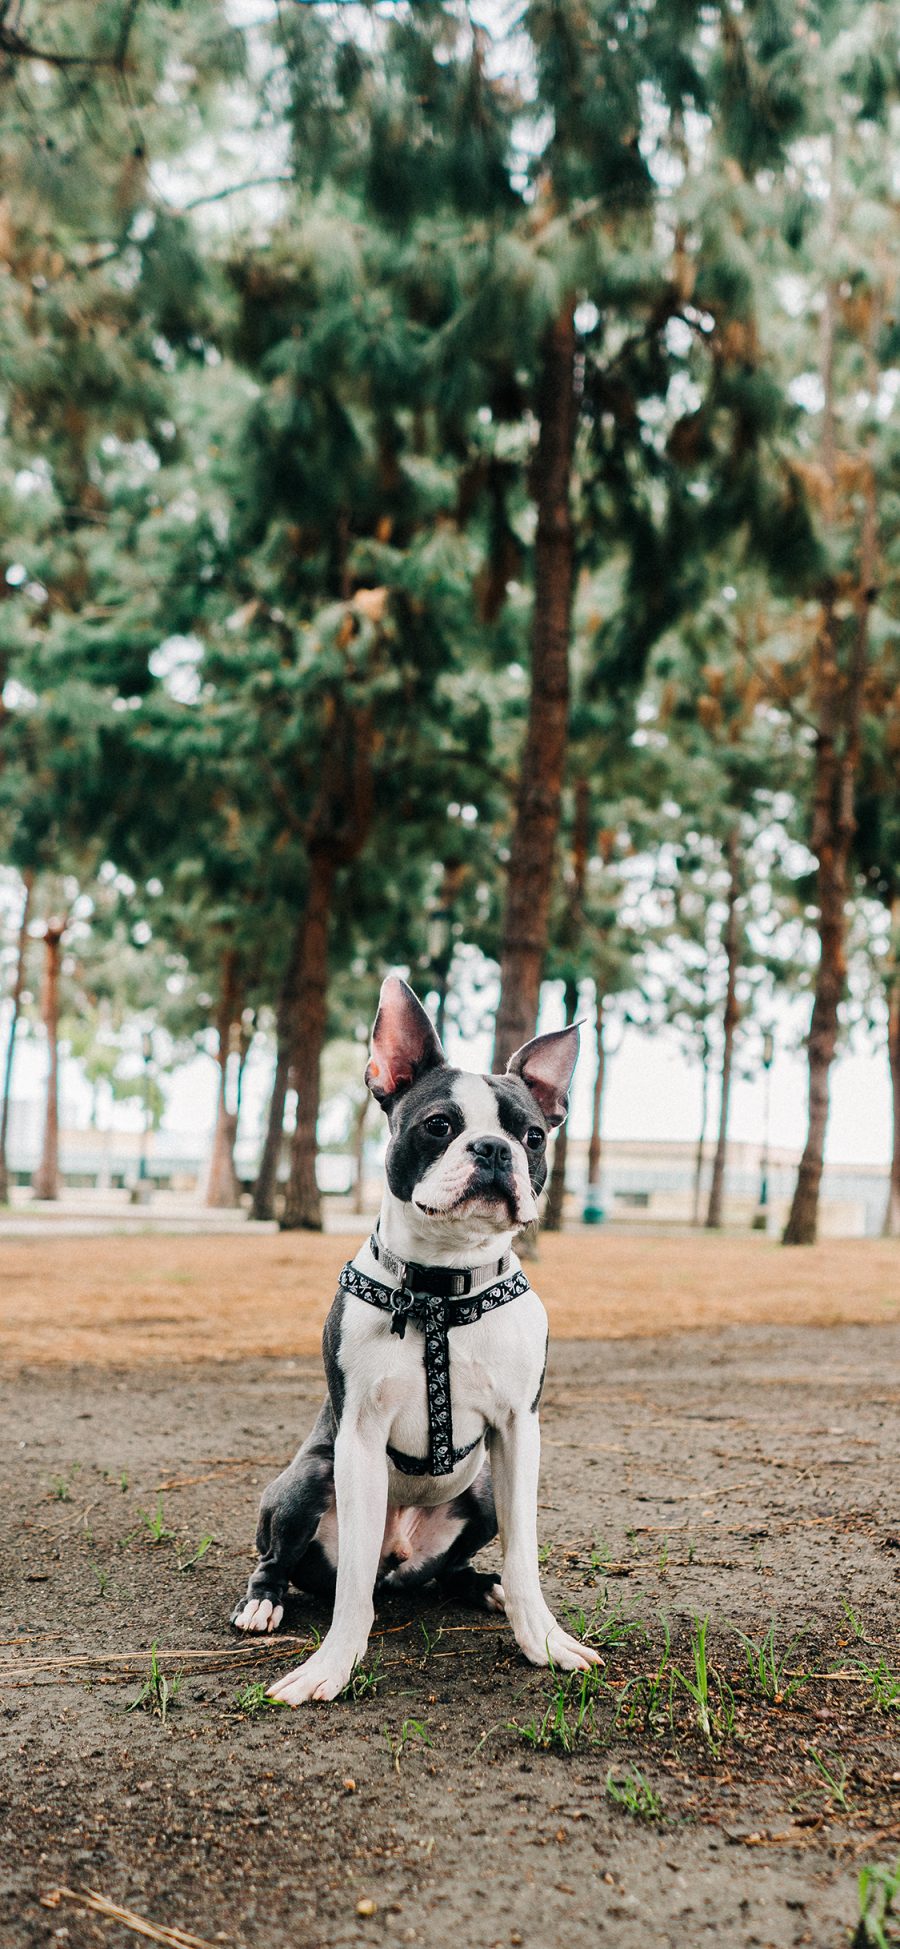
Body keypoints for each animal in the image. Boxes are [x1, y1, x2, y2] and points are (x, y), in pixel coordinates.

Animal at [229, 974, 596, 1707]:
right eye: (439, 1125)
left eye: (533, 1136)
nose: (493, 1149)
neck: (441, 1289)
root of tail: (399, 1559)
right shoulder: (359, 1437)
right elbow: (348, 1590)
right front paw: (331, 1665)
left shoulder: (520, 1430)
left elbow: (525, 1551)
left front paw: (541, 1639)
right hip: (308, 1477)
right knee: (285, 1560)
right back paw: (263, 1602)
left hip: (481, 1493)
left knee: (448, 1567)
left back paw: (482, 1586)